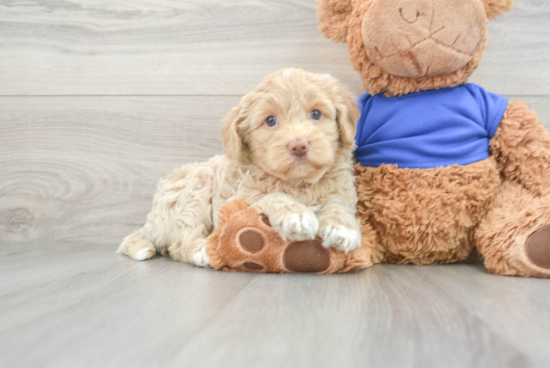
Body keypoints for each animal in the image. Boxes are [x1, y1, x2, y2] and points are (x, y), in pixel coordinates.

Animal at [117, 68, 362, 264]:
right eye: (270, 121)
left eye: (316, 114)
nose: (298, 145)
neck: (298, 184)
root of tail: (152, 221)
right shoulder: (240, 197)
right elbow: (270, 196)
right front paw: (296, 215)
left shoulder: (342, 189)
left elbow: (338, 203)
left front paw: (343, 227)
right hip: (196, 185)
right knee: (180, 242)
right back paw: (204, 251)